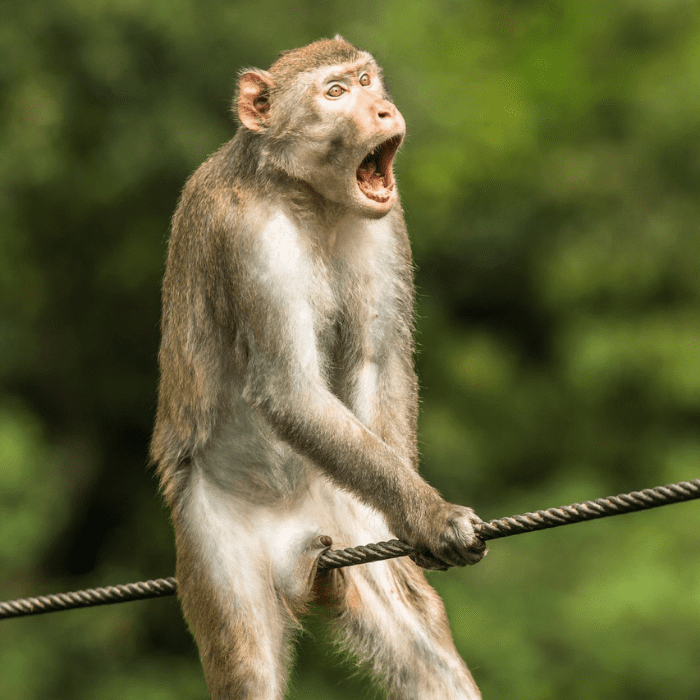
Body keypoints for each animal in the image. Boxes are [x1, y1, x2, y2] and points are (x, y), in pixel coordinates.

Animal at [151, 36, 486, 700]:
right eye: (334, 93)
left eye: (365, 80)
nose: (382, 109)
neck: (306, 197)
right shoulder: (248, 237)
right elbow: (289, 391)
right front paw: (433, 514)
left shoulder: (388, 220)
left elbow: (379, 362)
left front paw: (413, 519)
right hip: (215, 545)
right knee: (247, 664)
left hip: (344, 520)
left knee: (423, 651)